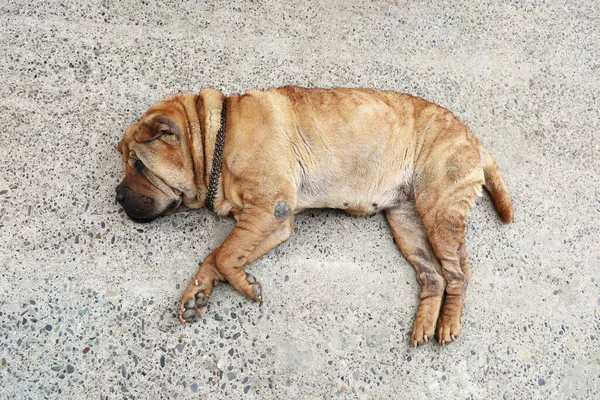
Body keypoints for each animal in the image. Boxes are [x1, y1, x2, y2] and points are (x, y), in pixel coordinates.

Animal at [115, 85, 512, 346]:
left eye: (138, 164)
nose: (117, 196)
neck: (217, 139)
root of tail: (473, 137)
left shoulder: (269, 208)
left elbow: (225, 254)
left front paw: (244, 285)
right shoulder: (272, 221)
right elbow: (217, 255)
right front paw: (197, 292)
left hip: (438, 210)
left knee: (458, 274)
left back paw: (448, 322)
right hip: (406, 222)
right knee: (434, 276)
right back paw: (426, 324)